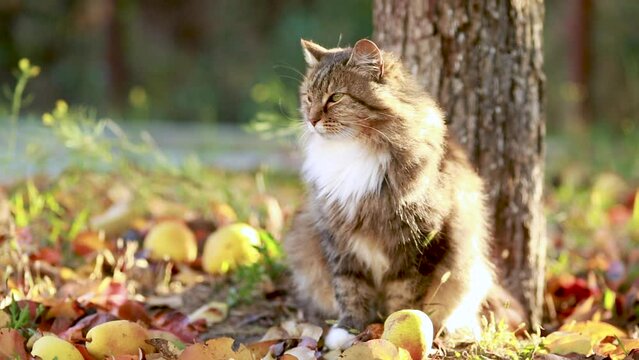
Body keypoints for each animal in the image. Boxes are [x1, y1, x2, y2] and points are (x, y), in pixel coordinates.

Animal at [284, 38, 496, 346]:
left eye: (335, 97)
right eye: (309, 98)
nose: (311, 120)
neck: (355, 149)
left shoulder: (418, 241)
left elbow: (404, 294)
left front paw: (395, 329)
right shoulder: (338, 237)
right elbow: (349, 288)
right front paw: (349, 329)